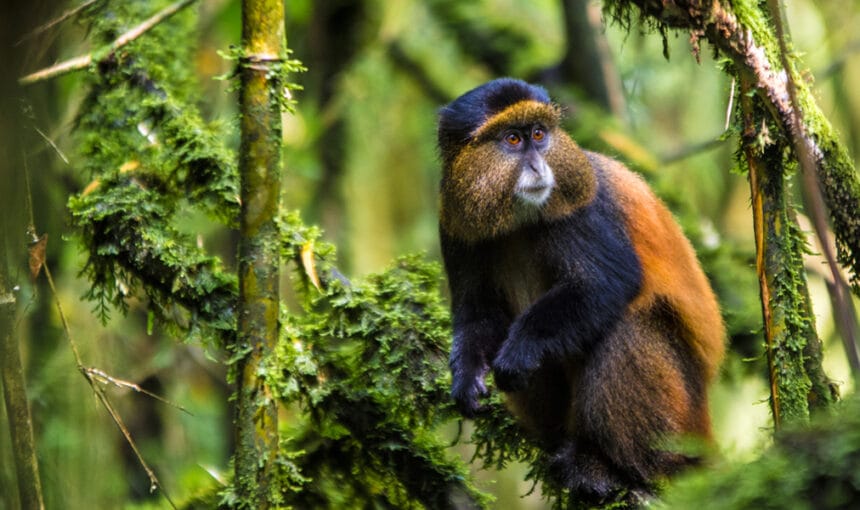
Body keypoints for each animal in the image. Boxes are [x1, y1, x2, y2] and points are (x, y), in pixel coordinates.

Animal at [437, 78, 725, 500]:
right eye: (512, 139)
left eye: (539, 135)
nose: (539, 166)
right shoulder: (455, 225)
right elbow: (478, 314)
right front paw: (467, 376)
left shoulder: (580, 208)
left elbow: (606, 284)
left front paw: (519, 350)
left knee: (627, 326)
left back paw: (607, 466)